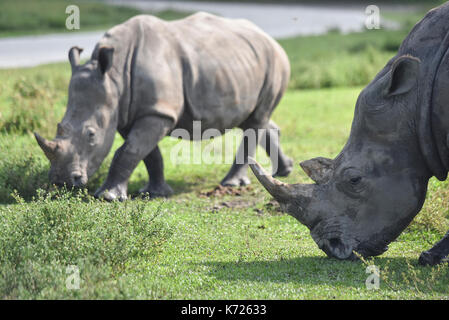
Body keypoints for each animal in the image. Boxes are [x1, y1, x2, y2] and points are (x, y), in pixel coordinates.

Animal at [36, 13, 294, 201]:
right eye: (60, 126)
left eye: (91, 135)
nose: (61, 181)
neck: (115, 76)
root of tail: (270, 38)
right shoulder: (129, 112)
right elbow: (147, 153)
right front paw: (155, 192)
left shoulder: (157, 112)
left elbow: (129, 151)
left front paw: (108, 197)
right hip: (241, 64)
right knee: (257, 118)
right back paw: (285, 170)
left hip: (275, 62)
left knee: (255, 120)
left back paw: (232, 183)